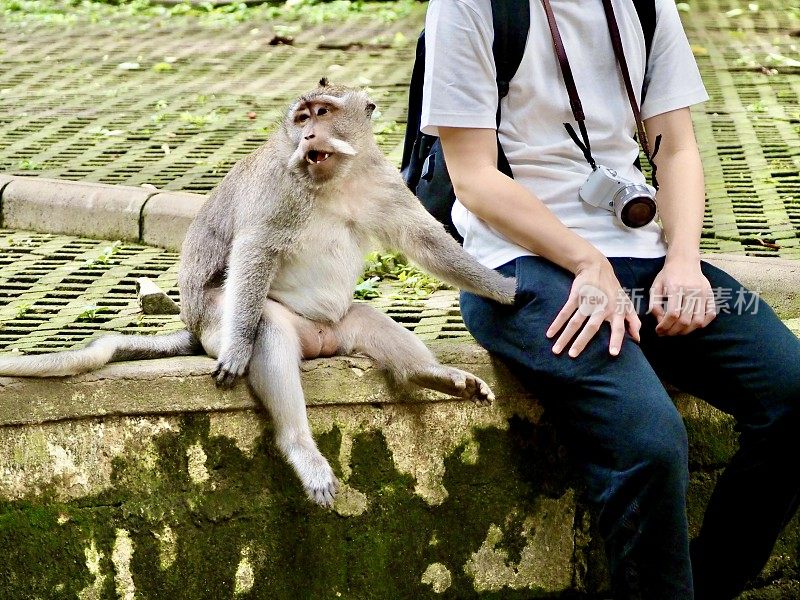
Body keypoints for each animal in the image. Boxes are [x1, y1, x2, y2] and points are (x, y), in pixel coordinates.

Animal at [0, 78, 516, 502]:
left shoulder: (382, 180)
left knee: (367, 320)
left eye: (323, 112)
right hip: (221, 322)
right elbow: (256, 247)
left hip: (338, 326)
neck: (334, 180)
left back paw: (433, 376)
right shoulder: (279, 187)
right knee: (266, 332)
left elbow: (425, 242)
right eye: (302, 118)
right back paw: (298, 442)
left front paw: (504, 290)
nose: (309, 137)